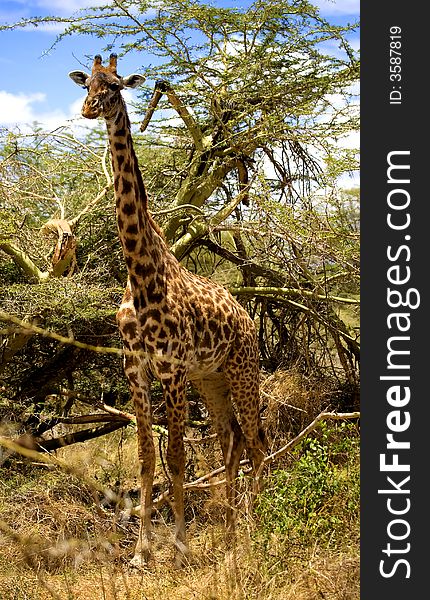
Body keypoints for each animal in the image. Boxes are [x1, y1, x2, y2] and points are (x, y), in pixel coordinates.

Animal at [69, 54, 266, 564]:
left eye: (117, 85)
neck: (140, 274)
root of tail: (247, 319)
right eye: (87, 83)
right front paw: (142, 551)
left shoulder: (171, 368)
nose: (89, 108)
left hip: (242, 372)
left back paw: (253, 529)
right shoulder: (135, 368)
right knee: (231, 438)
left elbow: (176, 454)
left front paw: (177, 546)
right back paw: (230, 529)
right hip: (211, 379)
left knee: (256, 441)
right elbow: (145, 456)